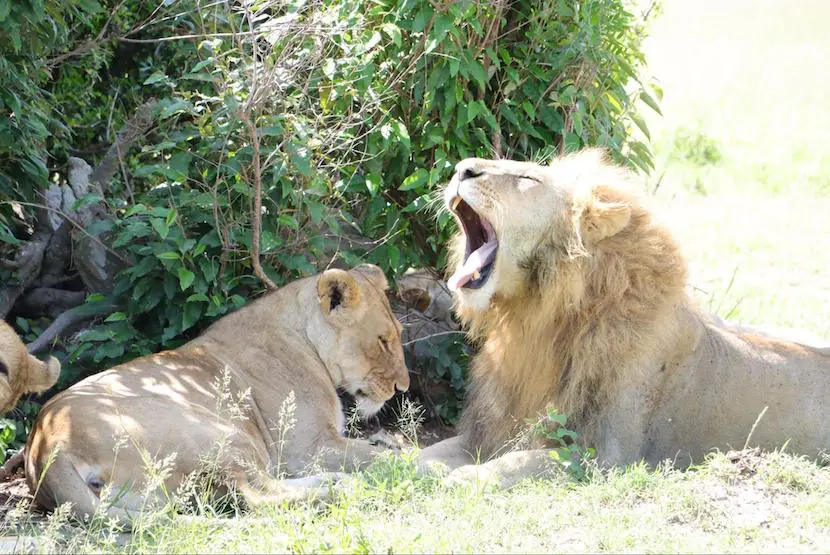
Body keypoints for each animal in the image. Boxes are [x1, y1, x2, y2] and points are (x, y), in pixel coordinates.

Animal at [26, 264, 412, 520]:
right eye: (383, 340)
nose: (402, 388)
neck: (304, 336)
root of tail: (46, 448)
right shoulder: (306, 448)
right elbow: (378, 458)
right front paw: (412, 461)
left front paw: (392, 442)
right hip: (217, 433)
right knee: (255, 496)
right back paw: (337, 489)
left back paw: (336, 482)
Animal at [420, 150, 830, 484]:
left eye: (528, 179)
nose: (461, 168)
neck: (536, 316)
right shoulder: (491, 429)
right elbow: (427, 453)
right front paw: (410, 467)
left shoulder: (610, 453)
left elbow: (520, 461)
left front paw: (467, 478)